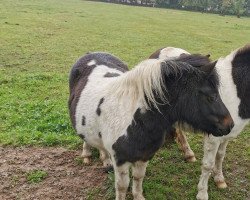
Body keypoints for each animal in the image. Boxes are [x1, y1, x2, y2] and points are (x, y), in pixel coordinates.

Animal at [67, 52, 233, 199]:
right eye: (210, 96)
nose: (230, 125)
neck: (135, 120)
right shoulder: (120, 160)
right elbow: (122, 186)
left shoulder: (144, 156)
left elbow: (138, 178)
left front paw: (138, 196)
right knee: (86, 139)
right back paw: (86, 154)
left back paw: (105, 160)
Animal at [149, 45, 250, 200]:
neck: (235, 88)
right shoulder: (214, 137)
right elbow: (208, 164)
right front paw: (202, 193)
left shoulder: (226, 134)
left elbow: (220, 156)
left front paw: (219, 179)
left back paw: (188, 153)